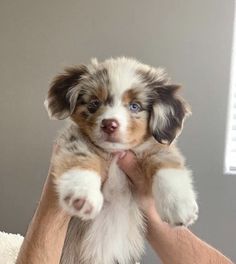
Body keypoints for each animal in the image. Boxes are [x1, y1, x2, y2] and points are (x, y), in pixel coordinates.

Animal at [44, 57, 199, 264]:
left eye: (135, 106)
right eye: (94, 103)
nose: (109, 124)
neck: (115, 154)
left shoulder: (155, 149)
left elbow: (167, 168)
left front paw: (178, 205)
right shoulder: (74, 139)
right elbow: (80, 160)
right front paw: (82, 195)